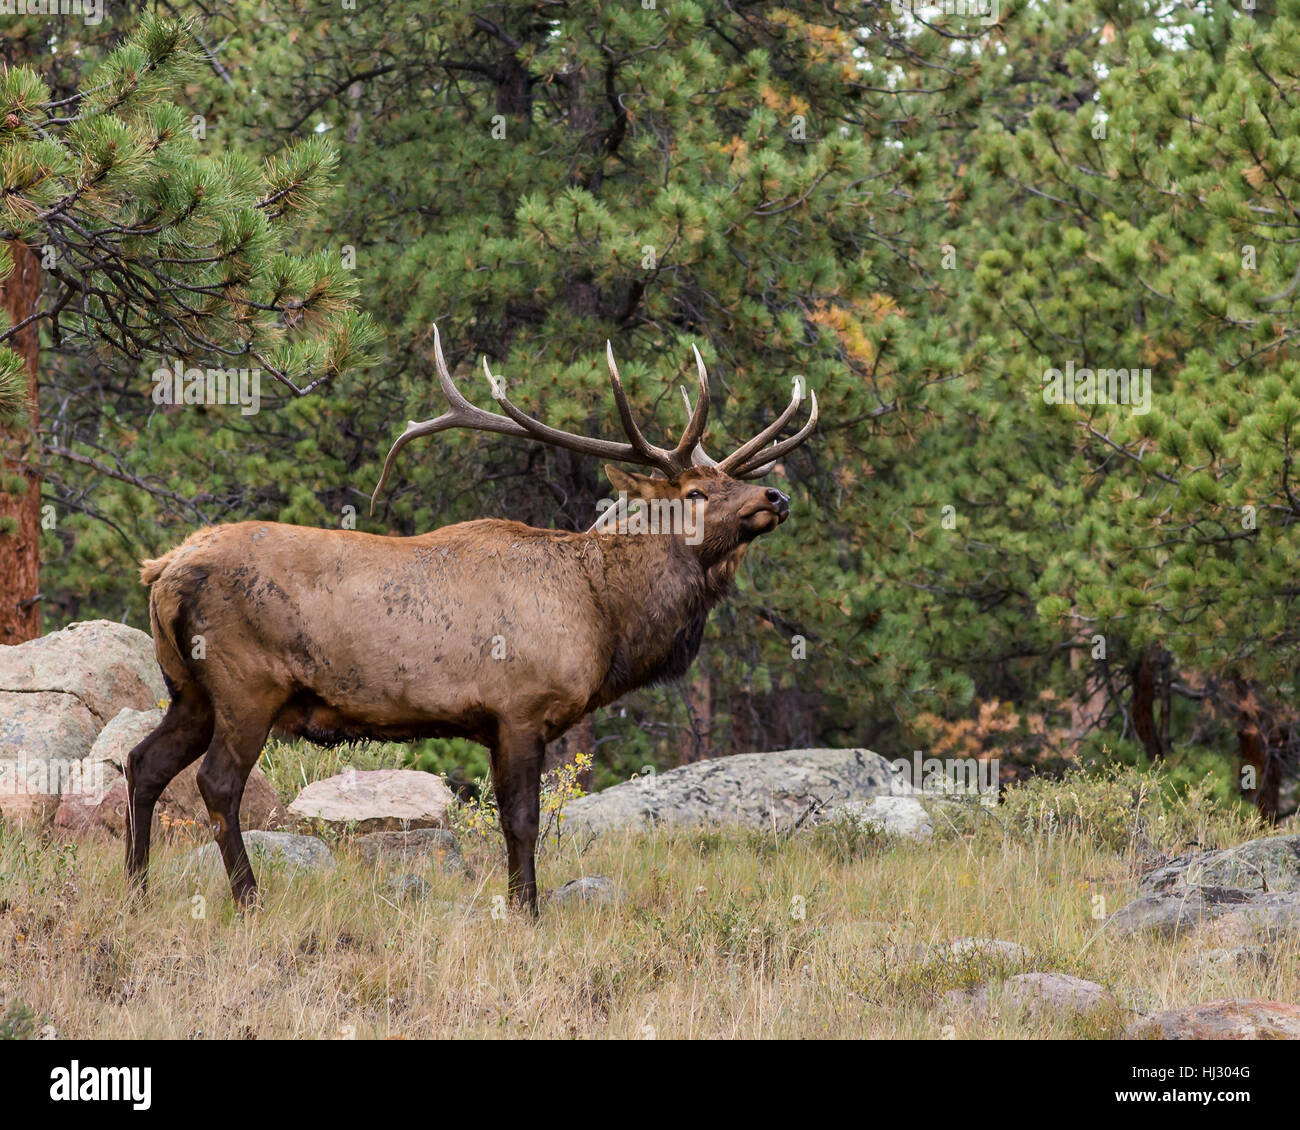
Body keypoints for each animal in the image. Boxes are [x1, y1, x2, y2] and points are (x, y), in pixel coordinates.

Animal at [124, 326, 817, 914]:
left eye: (731, 478)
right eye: (696, 493)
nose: (776, 495)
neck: (604, 618)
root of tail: (164, 571)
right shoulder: (519, 708)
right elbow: (522, 821)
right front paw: (527, 912)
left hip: (188, 689)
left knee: (142, 762)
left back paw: (137, 891)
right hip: (248, 683)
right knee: (217, 783)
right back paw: (248, 900)